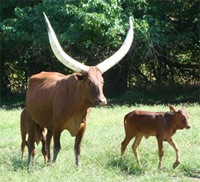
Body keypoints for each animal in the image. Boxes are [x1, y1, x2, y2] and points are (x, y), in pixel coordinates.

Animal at [25, 13, 134, 166]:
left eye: (102, 81)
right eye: (89, 82)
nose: (102, 100)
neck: (77, 106)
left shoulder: (82, 127)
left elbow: (77, 148)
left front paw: (77, 166)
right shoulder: (58, 126)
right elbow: (57, 146)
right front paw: (54, 165)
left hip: (48, 125)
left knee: (47, 144)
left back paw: (47, 162)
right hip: (30, 119)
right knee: (31, 143)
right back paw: (30, 163)